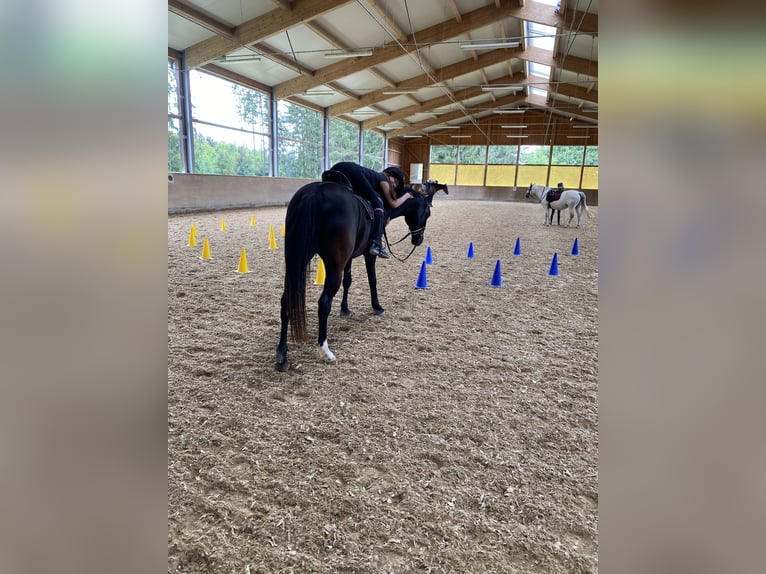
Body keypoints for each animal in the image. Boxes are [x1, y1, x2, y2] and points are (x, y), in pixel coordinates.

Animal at [278, 170, 444, 374]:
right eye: (427, 213)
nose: (418, 240)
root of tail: (315, 194)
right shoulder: (367, 255)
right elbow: (372, 279)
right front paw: (377, 306)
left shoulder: (348, 258)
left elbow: (348, 281)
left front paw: (345, 308)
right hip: (333, 267)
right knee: (324, 302)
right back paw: (324, 349)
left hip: (298, 259)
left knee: (286, 300)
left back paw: (282, 354)